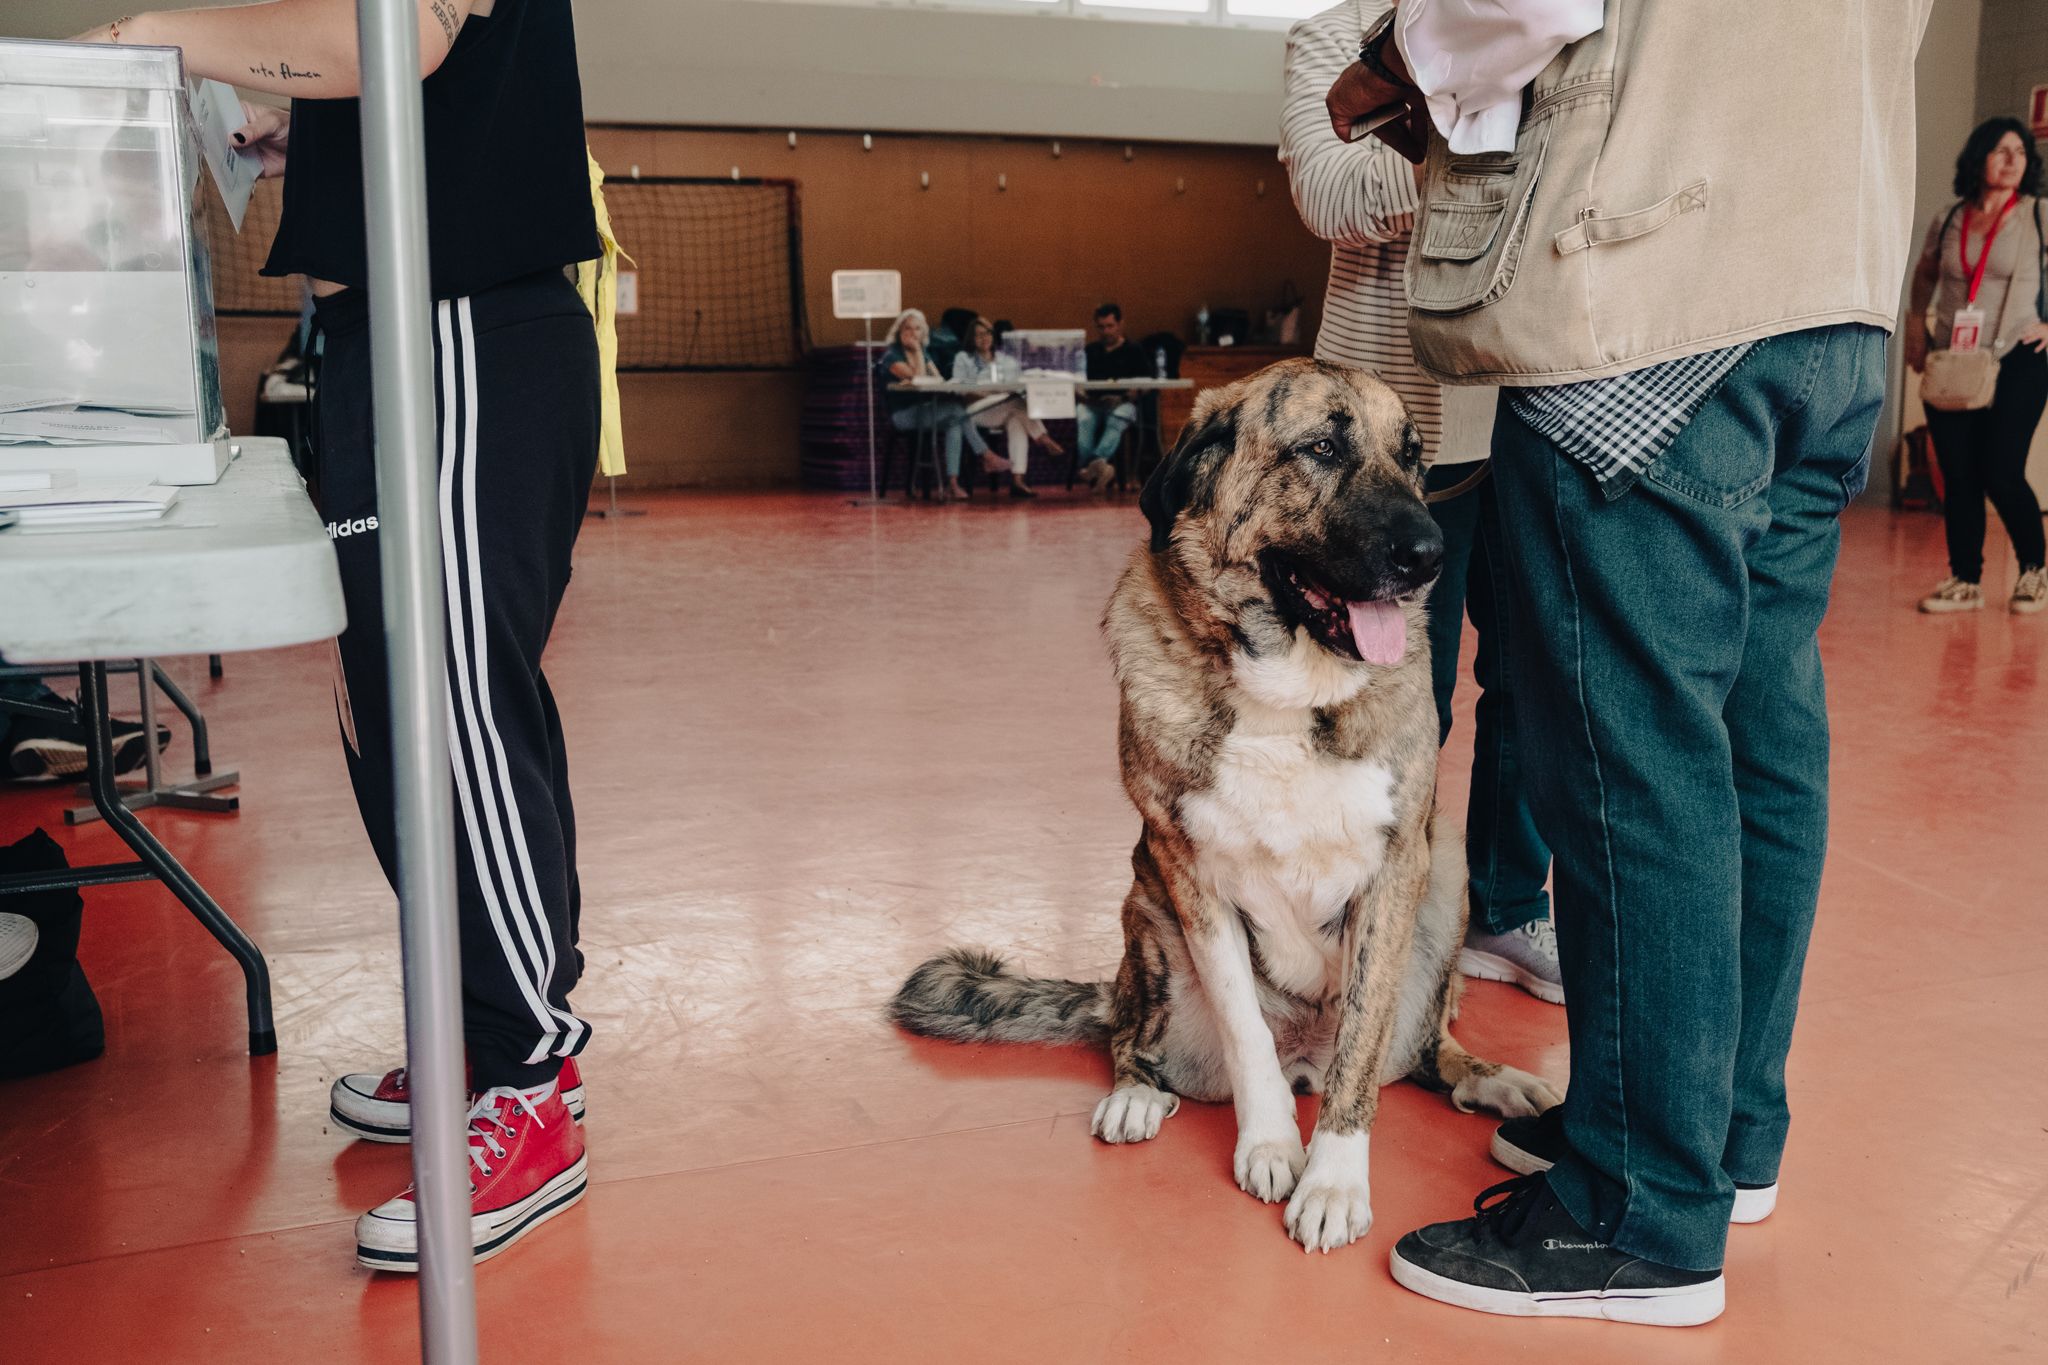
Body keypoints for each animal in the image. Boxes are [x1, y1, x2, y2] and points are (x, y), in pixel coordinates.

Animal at [892, 360, 1548, 1252]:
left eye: (1414, 457)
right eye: (1321, 449)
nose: (1431, 555)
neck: (1289, 686)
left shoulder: (1395, 869)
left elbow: (1361, 1053)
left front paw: (1333, 1181)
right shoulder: (1188, 875)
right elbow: (1246, 1031)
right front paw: (1270, 1144)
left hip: (1445, 873)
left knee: (1421, 1050)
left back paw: (1491, 1079)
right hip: (1144, 914)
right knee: (1131, 1037)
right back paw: (1136, 1094)